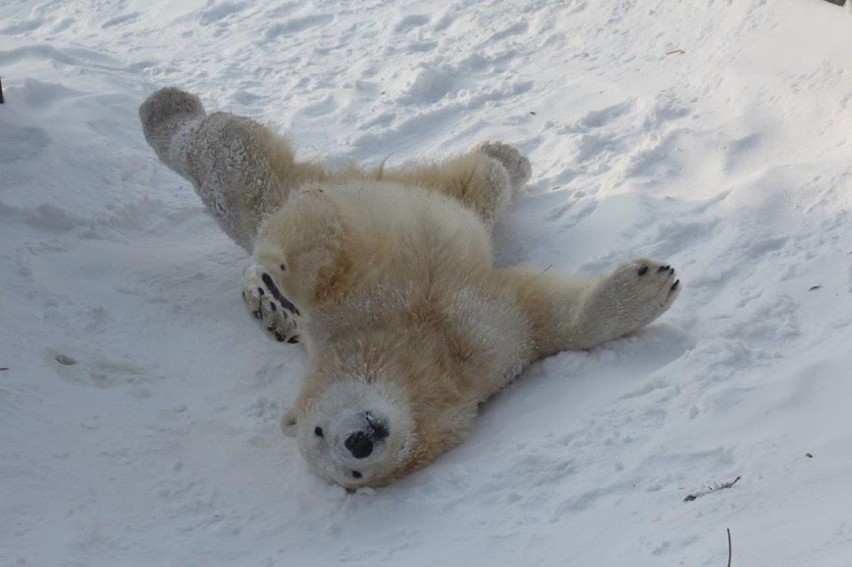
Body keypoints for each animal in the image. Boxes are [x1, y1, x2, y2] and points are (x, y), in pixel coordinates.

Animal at [141, 86, 684, 490]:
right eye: (351, 473)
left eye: (318, 428)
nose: (359, 441)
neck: (412, 349)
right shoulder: (483, 360)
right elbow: (543, 315)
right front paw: (650, 284)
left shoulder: (364, 303)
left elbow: (330, 253)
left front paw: (277, 283)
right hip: (442, 195)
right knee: (479, 184)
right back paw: (506, 155)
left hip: (280, 192)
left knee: (234, 161)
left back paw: (164, 108)